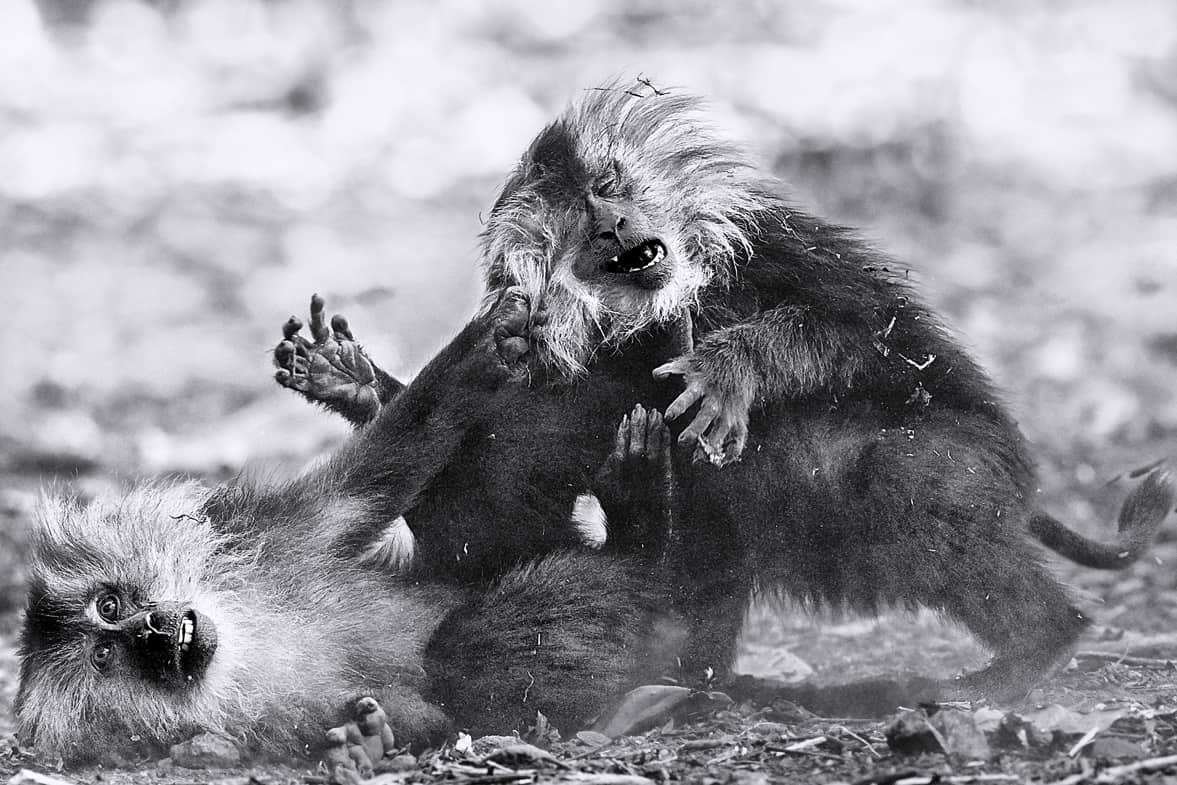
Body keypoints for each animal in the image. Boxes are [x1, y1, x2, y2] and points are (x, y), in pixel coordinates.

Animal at [15, 289, 686, 765]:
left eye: (108, 604)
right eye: (106, 655)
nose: (154, 628)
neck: (235, 644)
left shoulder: (270, 534)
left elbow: (368, 483)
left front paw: (481, 345)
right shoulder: (272, 724)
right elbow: (433, 714)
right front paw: (368, 738)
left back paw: (356, 385)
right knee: (472, 650)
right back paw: (643, 532)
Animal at [272, 82, 1176, 704]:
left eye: (606, 187)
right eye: (574, 221)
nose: (614, 228)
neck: (656, 315)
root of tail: (1023, 487)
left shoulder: (784, 254)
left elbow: (850, 332)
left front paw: (724, 371)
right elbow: (494, 510)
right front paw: (354, 382)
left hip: (964, 468)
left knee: (909, 476)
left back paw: (1023, 659)